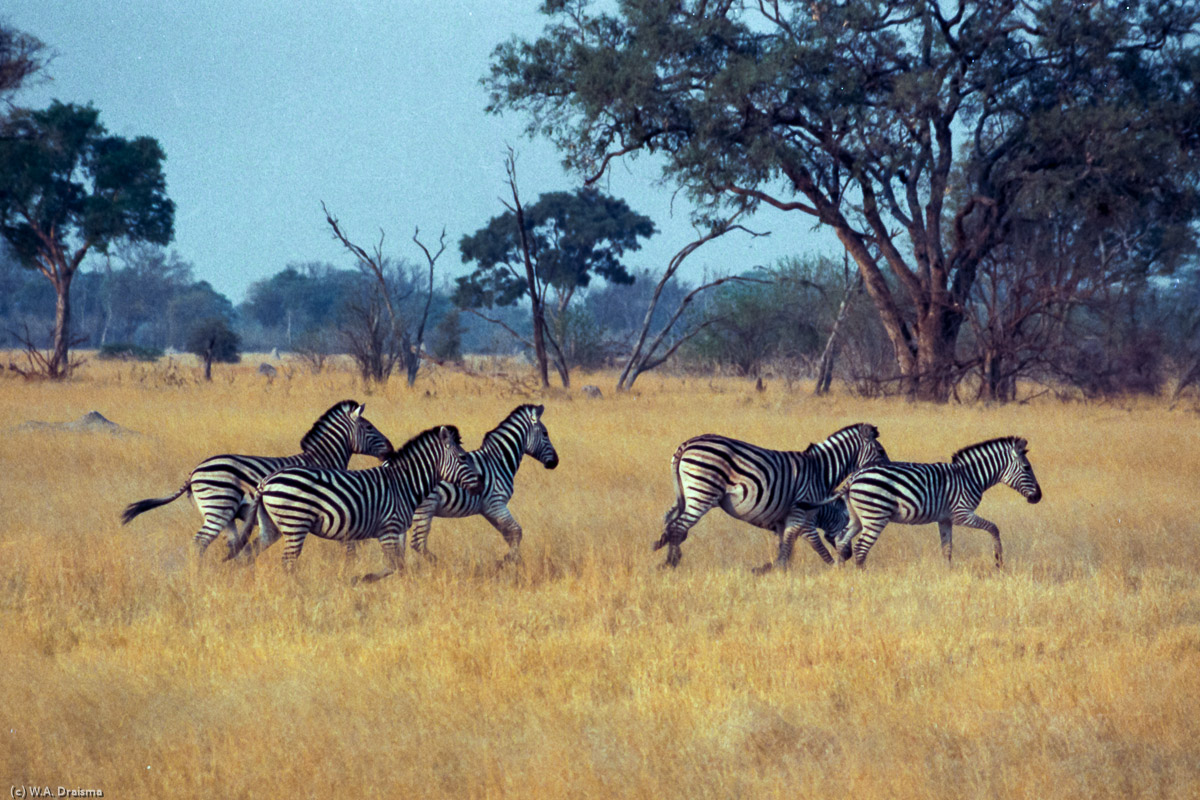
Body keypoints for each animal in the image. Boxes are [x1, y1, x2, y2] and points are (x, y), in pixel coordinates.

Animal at [118, 398, 388, 556]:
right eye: (369, 427)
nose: (390, 447)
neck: (320, 460)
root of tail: (194, 471)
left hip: (222, 514)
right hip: (218, 508)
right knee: (199, 543)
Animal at [229, 424, 482, 582]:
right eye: (463, 457)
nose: (480, 485)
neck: (403, 484)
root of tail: (266, 482)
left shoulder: (391, 531)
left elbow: (399, 565)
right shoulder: (389, 528)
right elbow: (395, 566)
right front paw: (361, 579)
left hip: (271, 526)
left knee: (249, 553)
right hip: (295, 523)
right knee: (287, 562)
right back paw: (295, 590)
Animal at [408, 402, 556, 566]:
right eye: (545, 433)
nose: (556, 462)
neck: (498, 461)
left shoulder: (488, 510)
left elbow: (508, 535)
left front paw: (515, 562)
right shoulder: (496, 504)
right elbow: (517, 532)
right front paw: (507, 561)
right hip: (425, 508)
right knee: (418, 543)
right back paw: (438, 564)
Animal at [652, 422, 888, 573]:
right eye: (880, 451)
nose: (847, 555)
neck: (820, 471)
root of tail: (686, 444)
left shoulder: (781, 521)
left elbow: (783, 545)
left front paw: (772, 568)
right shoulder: (803, 515)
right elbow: (812, 545)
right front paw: (832, 569)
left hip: (687, 494)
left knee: (672, 523)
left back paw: (667, 559)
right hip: (702, 492)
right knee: (678, 527)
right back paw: (671, 564)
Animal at [830, 438, 1046, 568]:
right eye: (1026, 467)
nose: (1038, 497)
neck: (970, 477)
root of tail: (854, 477)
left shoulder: (945, 519)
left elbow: (947, 549)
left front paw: (947, 574)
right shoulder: (961, 514)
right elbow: (993, 528)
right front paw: (999, 561)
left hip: (858, 517)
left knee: (841, 540)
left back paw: (843, 575)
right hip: (875, 516)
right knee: (860, 549)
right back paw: (862, 578)